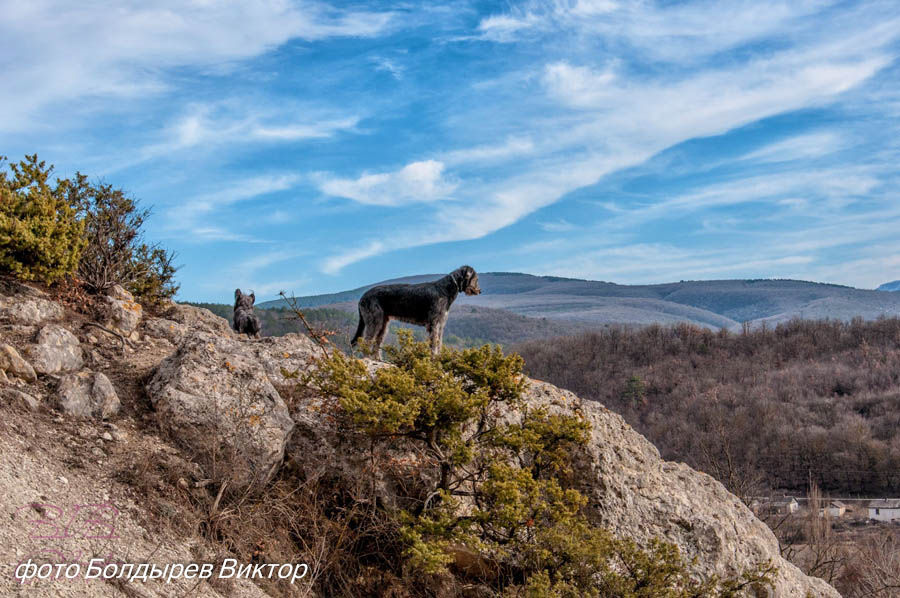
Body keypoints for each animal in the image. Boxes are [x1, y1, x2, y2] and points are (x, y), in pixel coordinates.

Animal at [352, 264, 482, 358]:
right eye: (476, 278)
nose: (480, 291)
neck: (446, 289)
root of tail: (362, 298)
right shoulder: (434, 323)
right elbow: (434, 343)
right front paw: (434, 359)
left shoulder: (441, 324)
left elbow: (439, 342)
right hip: (375, 320)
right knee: (367, 341)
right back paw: (367, 358)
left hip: (383, 324)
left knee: (377, 343)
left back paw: (377, 360)